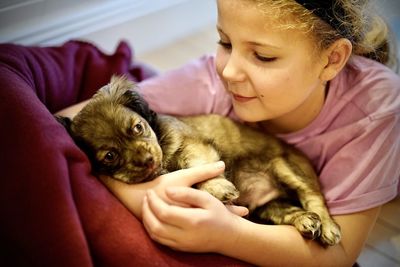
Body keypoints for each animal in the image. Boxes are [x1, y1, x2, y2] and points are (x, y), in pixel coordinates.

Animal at [56, 76, 342, 247]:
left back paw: (327, 226)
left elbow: (201, 169)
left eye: (138, 127)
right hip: (268, 207)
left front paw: (218, 188)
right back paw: (306, 222)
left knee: (313, 197)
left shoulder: (194, 147)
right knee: (291, 211)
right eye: (110, 156)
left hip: (286, 169)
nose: (148, 160)